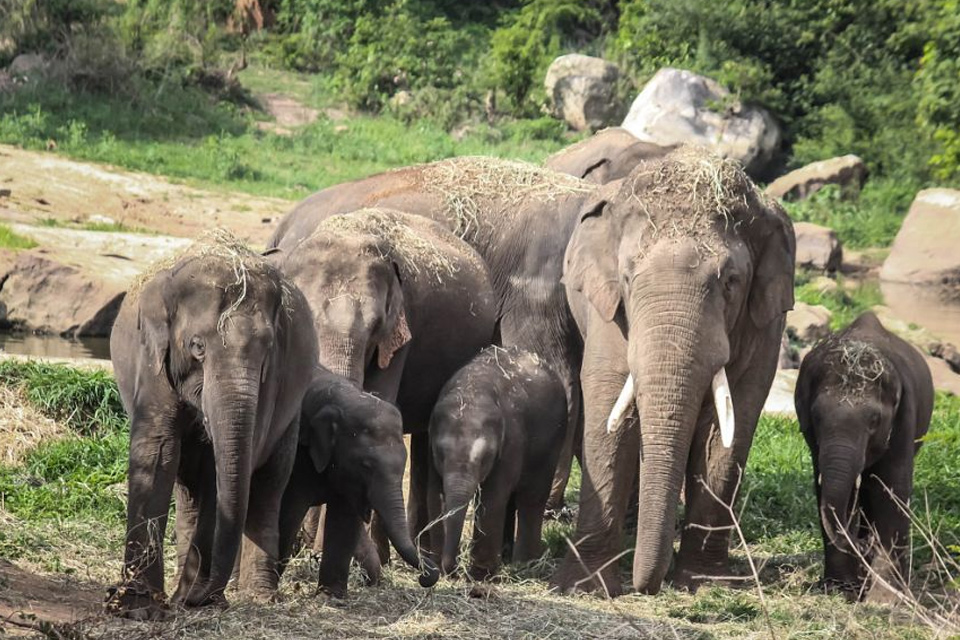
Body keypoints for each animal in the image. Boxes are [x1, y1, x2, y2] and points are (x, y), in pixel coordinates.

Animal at [430, 350, 568, 580]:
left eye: (484, 458)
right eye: (440, 454)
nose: (453, 571)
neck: (472, 392)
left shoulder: (512, 441)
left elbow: (493, 496)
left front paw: (481, 573)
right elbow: (438, 492)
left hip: (552, 441)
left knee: (532, 496)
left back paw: (524, 562)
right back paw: (506, 556)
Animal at [556, 145, 796, 596]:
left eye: (731, 281)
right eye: (628, 278)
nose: (643, 586)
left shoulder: (765, 321)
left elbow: (729, 428)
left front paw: (705, 583)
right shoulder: (609, 311)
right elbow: (608, 410)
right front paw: (588, 587)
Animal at [796, 312, 928, 604]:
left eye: (875, 421)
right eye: (816, 416)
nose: (864, 545)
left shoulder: (905, 417)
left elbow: (892, 490)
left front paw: (885, 600)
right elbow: (826, 490)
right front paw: (840, 589)